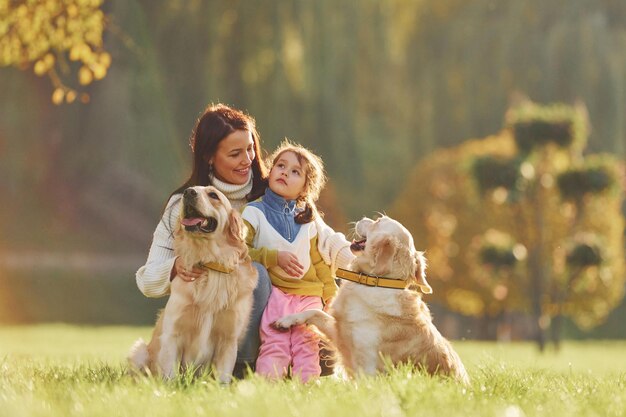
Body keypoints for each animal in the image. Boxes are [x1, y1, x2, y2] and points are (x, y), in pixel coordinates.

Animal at [128, 187, 258, 382]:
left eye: (213, 195)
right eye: (189, 191)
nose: (189, 192)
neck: (210, 262)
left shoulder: (228, 339)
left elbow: (222, 378)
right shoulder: (172, 334)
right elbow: (169, 376)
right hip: (139, 351)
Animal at [272, 214, 468, 384]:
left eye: (379, 221)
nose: (363, 218)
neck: (377, 282)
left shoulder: (367, 367)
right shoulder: (342, 333)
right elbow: (314, 312)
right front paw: (286, 320)